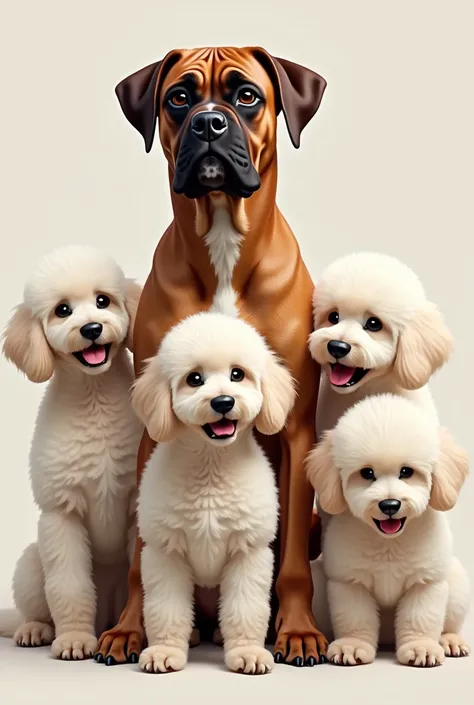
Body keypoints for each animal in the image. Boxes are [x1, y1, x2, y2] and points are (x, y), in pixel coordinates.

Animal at [0, 243, 143, 660]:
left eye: (103, 300)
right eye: (62, 310)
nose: (91, 328)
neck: (94, 398)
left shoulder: (135, 506)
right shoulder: (61, 514)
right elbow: (69, 587)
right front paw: (75, 639)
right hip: (32, 562)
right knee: (35, 607)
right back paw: (35, 629)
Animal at [132, 310, 296, 672]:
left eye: (238, 374)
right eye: (195, 379)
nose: (223, 401)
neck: (211, 465)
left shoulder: (248, 553)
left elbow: (246, 610)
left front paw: (247, 652)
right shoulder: (166, 553)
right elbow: (166, 610)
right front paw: (165, 651)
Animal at [308, 396, 470, 664]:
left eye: (407, 472)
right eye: (367, 473)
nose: (390, 505)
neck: (388, 543)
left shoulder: (425, 582)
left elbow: (420, 619)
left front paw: (420, 648)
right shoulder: (349, 582)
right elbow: (354, 618)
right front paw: (352, 646)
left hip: (457, 582)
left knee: (450, 622)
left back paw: (450, 640)